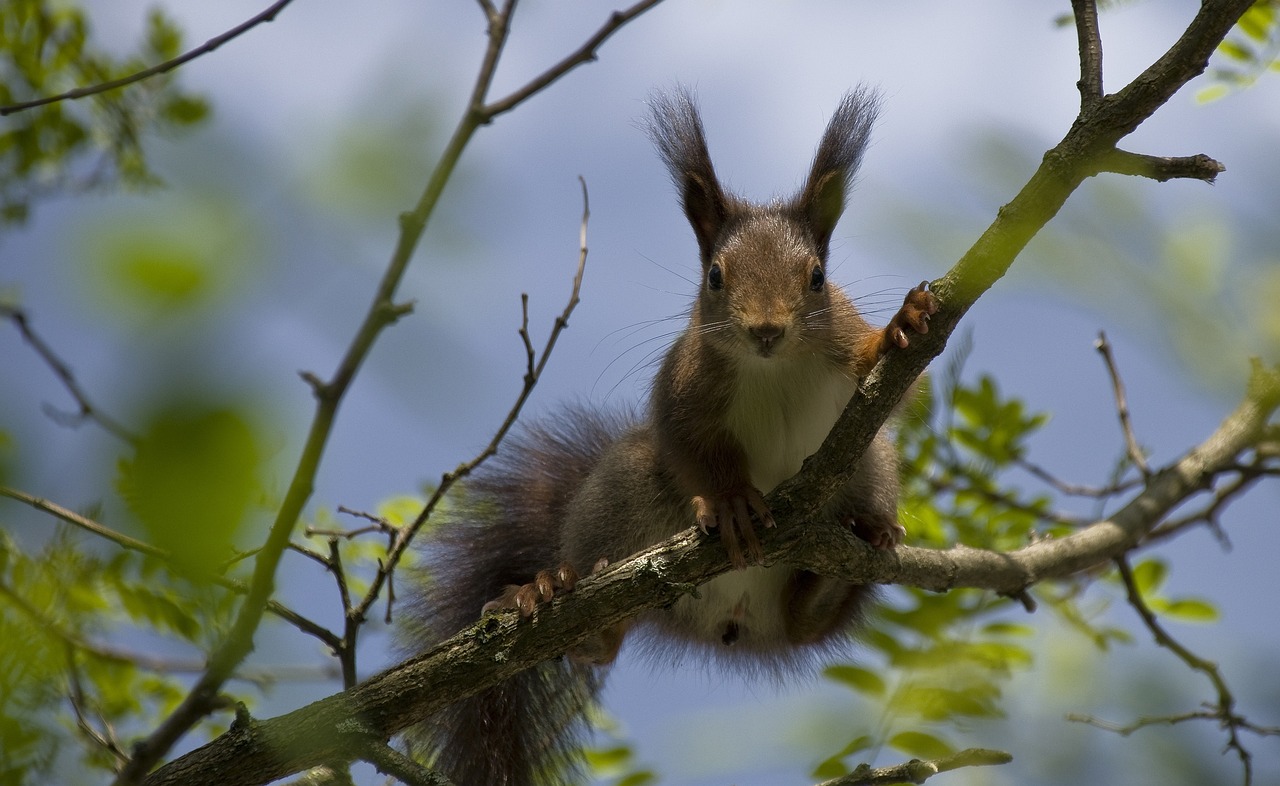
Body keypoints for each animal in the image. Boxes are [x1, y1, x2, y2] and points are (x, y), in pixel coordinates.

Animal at [401, 86, 942, 786]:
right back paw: (550, 591)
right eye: (715, 275)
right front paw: (733, 500)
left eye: (818, 277)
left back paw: (860, 544)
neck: (772, 367)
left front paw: (903, 324)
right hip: (625, 491)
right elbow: (690, 446)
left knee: (808, 625)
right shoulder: (684, 386)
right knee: (604, 634)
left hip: (869, 467)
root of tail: (732, 622)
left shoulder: (844, 350)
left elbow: (891, 386)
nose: (765, 330)